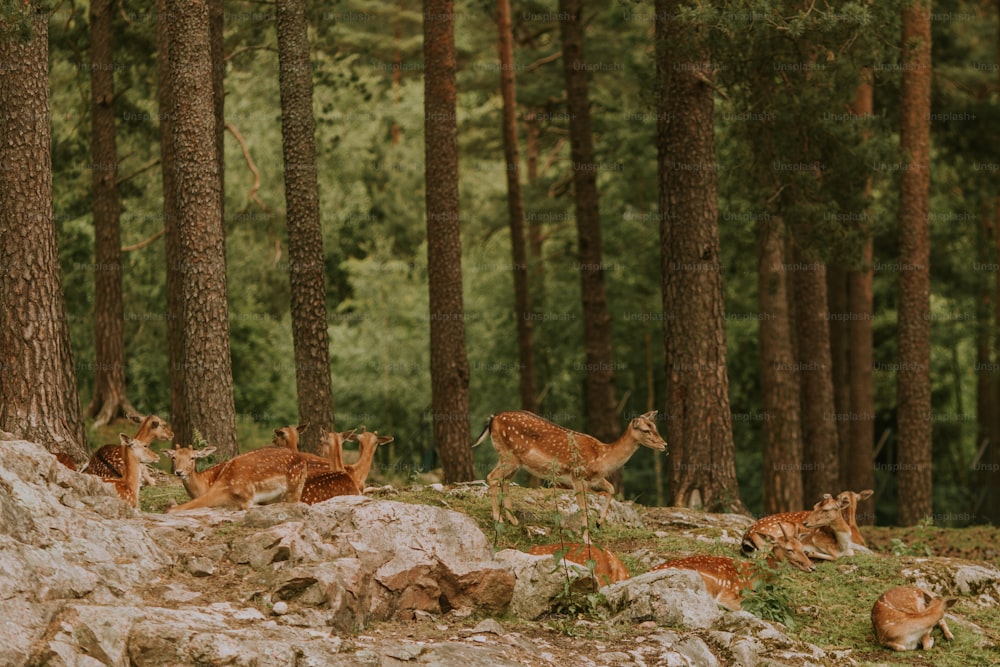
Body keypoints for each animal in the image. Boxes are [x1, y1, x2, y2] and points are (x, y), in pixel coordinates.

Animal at [166, 446, 306, 516]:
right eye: (173, 457)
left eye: (192, 458)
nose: (179, 472)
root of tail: (302, 457)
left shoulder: (248, 498)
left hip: (295, 486)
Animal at [474, 410, 668, 528]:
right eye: (646, 430)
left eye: (655, 427)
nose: (665, 444)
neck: (602, 457)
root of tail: (493, 419)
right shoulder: (578, 476)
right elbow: (584, 509)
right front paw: (588, 539)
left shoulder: (594, 479)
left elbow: (611, 489)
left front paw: (599, 521)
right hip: (509, 456)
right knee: (491, 476)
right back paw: (498, 518)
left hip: (513, 460)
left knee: (504, 481)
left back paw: (513, 520)